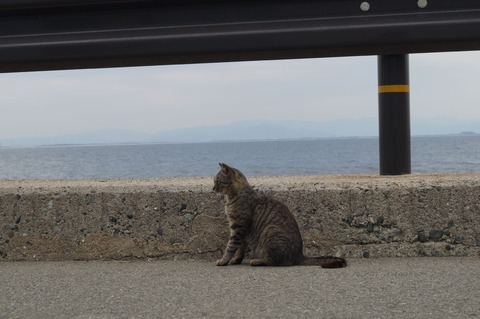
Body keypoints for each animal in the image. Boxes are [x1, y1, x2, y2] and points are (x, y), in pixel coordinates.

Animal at [213, 164, 344, 268]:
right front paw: (236, 260)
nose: (213, 188)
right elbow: (240, 249)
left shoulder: (238, 228)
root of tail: (300, 256)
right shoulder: (242, 232)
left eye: (217, 181)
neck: (233, 196)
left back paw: (257, 261)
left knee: (273, 261)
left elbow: (231, 247)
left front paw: (224, 260)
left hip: (270, 231)